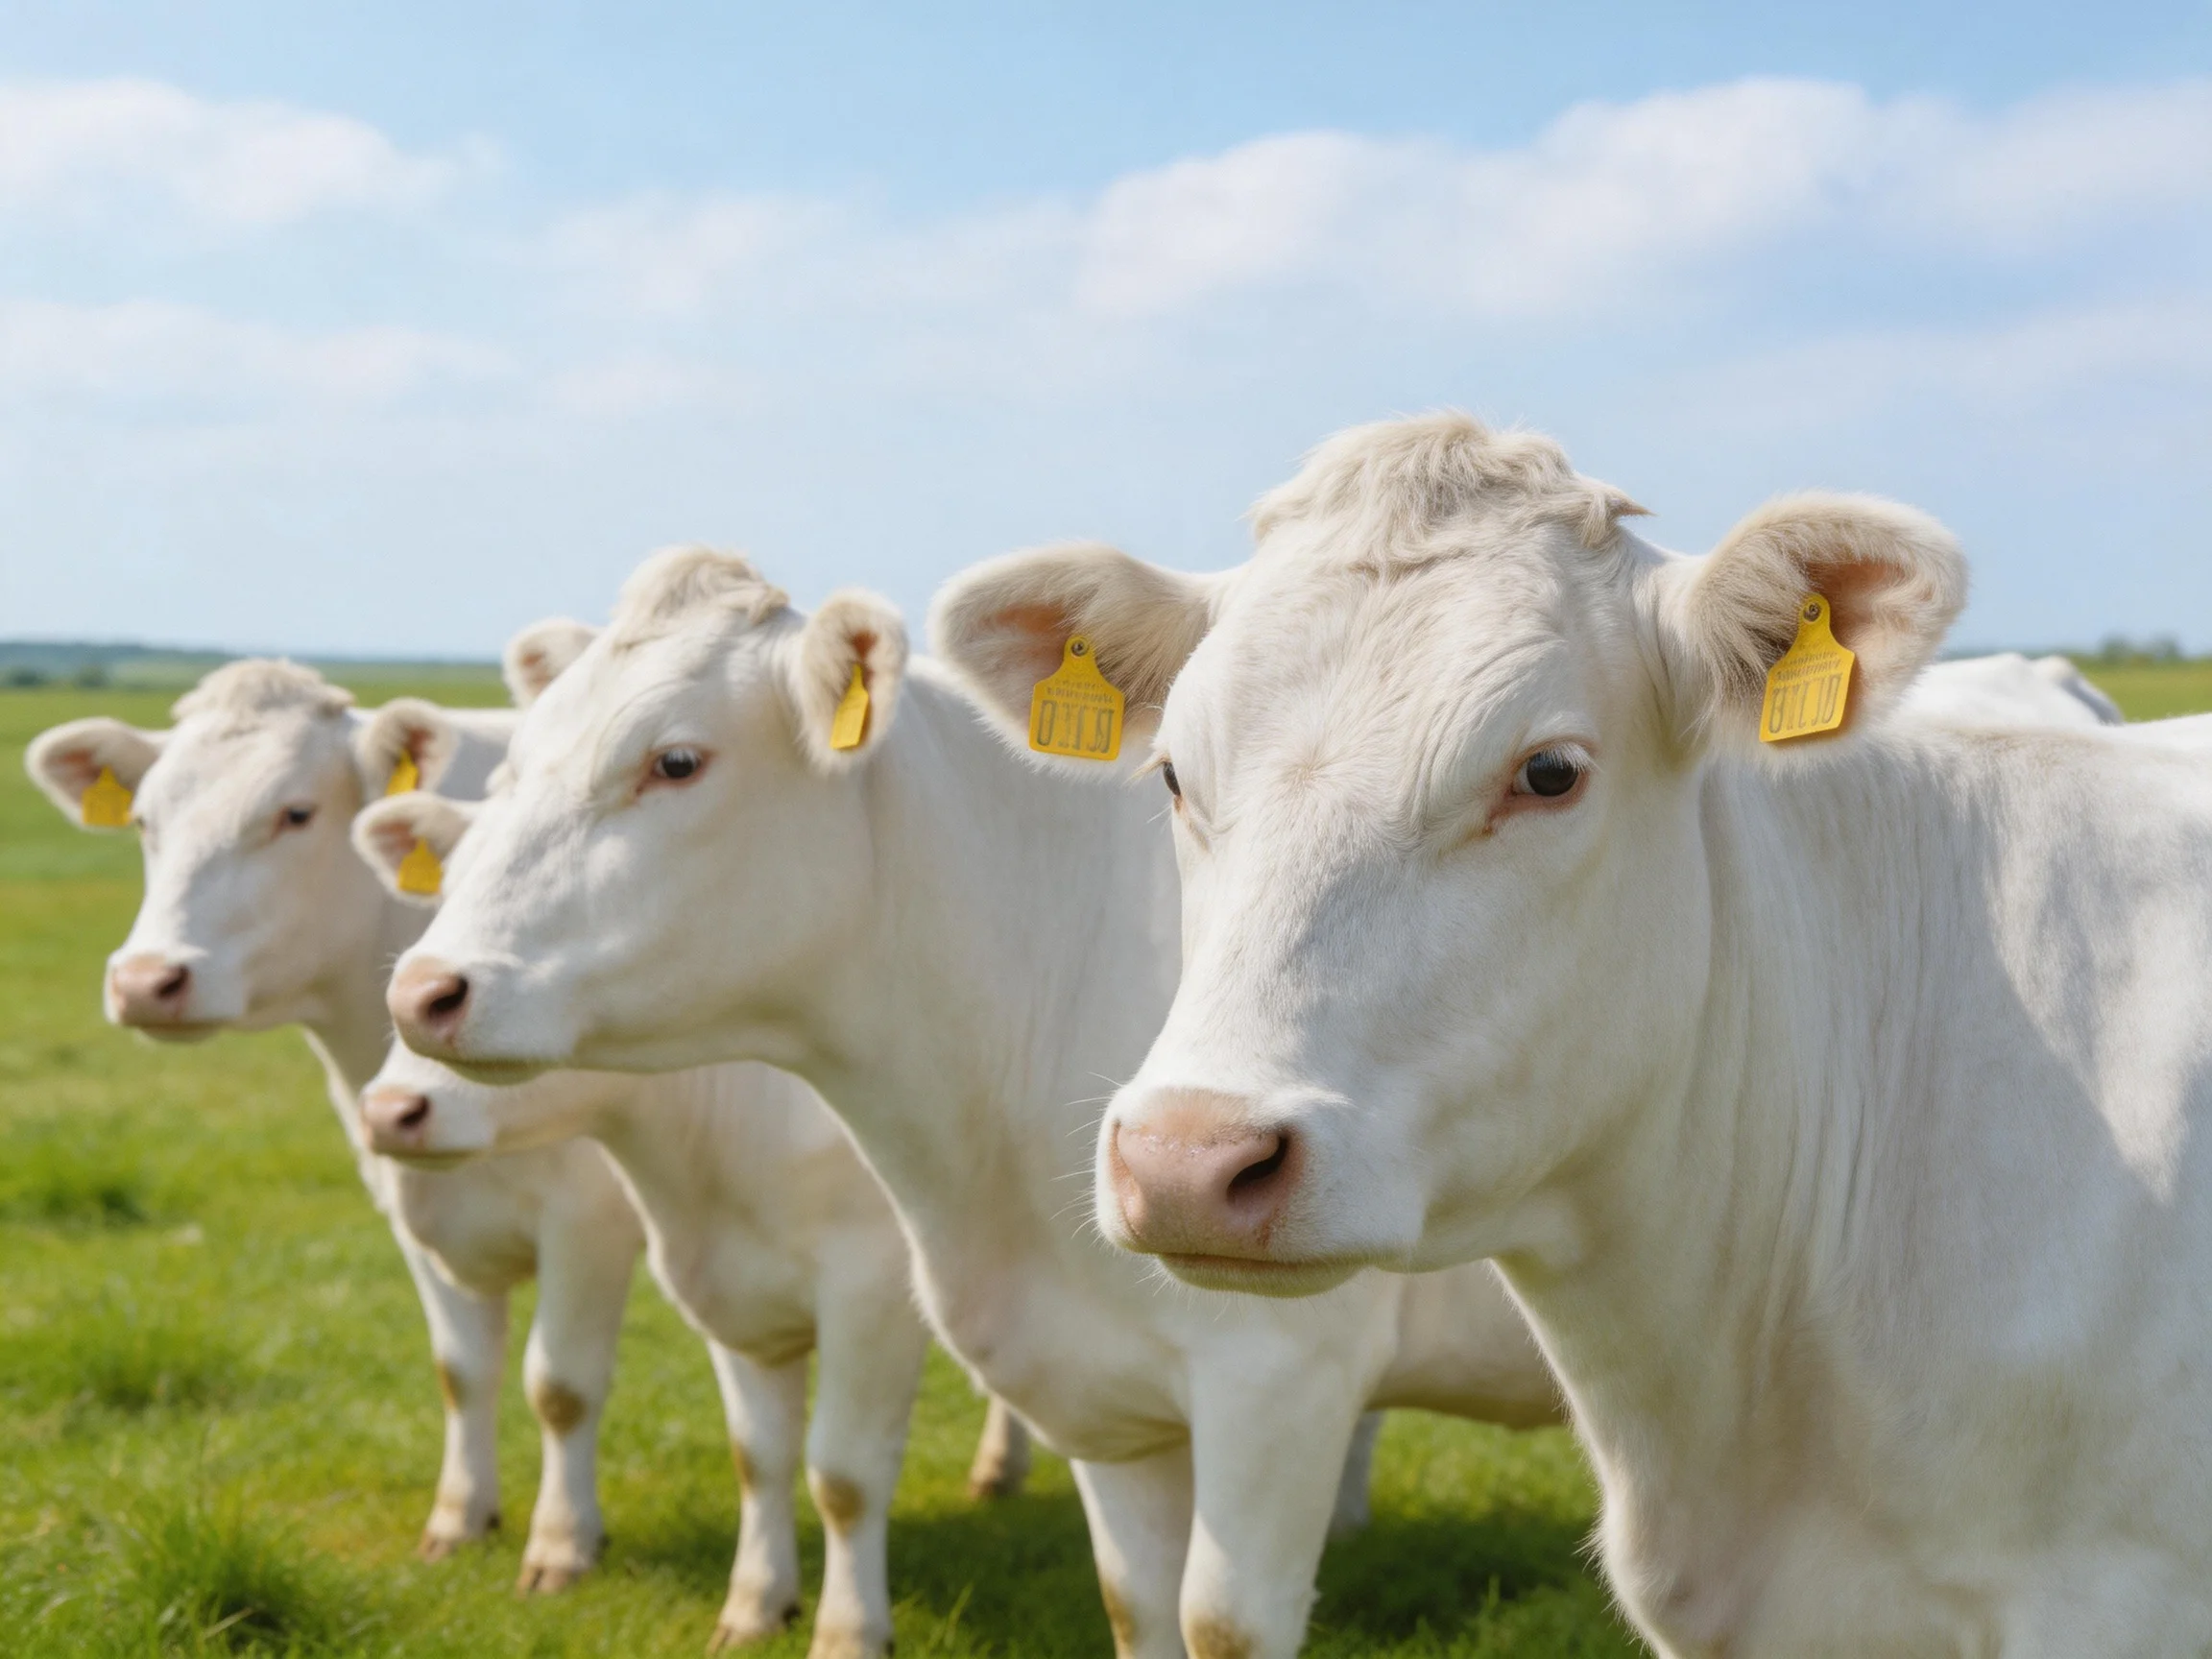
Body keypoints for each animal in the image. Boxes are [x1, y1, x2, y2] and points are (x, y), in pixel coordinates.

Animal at [25, 647, 643, 1590]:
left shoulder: (590, 1219)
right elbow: (464, 1371)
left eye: (295, 812)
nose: (146, 981)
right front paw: (460, 1517)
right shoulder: (412, 1205)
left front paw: (563, 1543)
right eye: (142, 819)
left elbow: (560, 1385)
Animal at [351, 786, 1030, 1659]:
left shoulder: (871, 1293)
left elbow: (844, 1476)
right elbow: (759, 1456)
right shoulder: (736, 1297)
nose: (389, 1112)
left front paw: (849, 1629)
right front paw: (756, 1603)